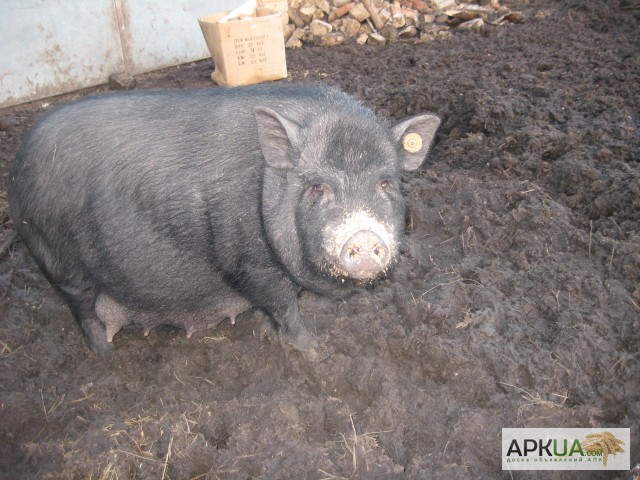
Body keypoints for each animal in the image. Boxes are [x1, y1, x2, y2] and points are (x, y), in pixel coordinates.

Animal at [8, 82, 440, 354]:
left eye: (386, 183)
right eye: (318, 187)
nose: (364, 237)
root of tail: (17, 163)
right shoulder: (248, 262)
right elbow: (283, 305)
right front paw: (314, 350)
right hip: (54, 253)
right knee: (80, 306)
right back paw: (104, 352)